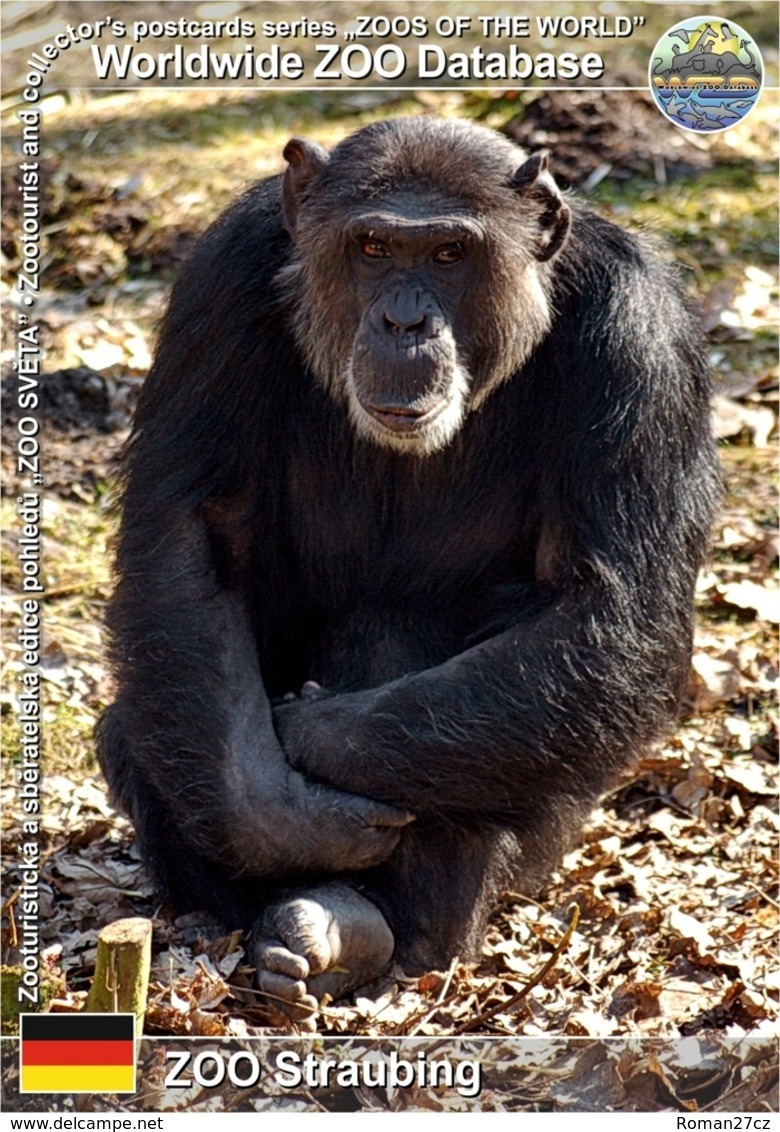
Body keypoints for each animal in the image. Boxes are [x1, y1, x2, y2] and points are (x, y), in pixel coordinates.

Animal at [97, 117, 720, 1018]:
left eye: (449, 255)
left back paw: (359, 929)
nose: (403, 320)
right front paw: (284, 817)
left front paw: (306, 729)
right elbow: (189, 536)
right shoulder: (221, 277)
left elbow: (610, 607)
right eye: (373, 246)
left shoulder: (642, 338)